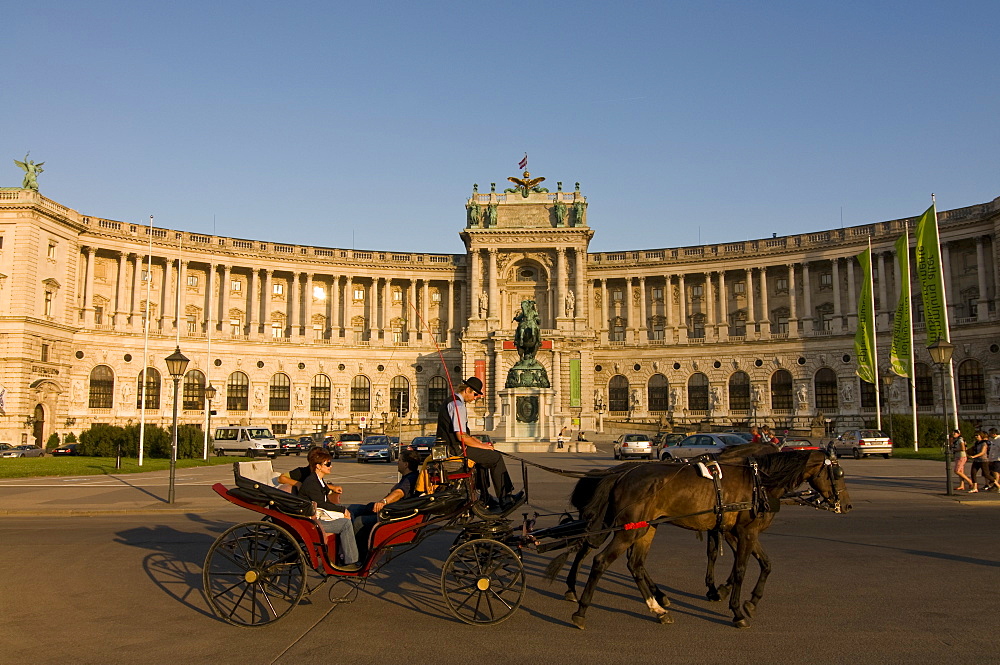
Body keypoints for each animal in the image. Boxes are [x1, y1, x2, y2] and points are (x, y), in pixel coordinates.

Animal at [572, 446, 844, 628]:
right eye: (838, 473)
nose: (847, 505)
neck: (756, 480)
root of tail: (619, 475)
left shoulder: (735, 530)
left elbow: (758, 562)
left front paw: (735, 597)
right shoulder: (742, 531)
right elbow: (739, 568)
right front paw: (735, 607)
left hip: (643, 528)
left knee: (633, 563)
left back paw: (658, 607)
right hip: (631, 529)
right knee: (600, 559)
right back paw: (580, 610)